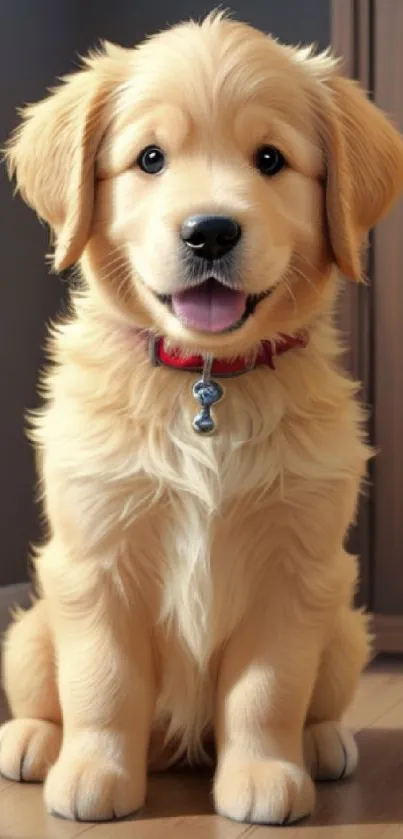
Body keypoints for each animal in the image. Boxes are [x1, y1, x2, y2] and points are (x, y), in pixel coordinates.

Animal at [0, 11, 403, 828]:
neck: (206, 381)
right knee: (43, 690)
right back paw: (33, 741)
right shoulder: (95, 556)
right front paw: (93, 770)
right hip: (29, 627)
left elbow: (267, 690)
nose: (210, 231)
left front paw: (265, 771)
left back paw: (322, 742)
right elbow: (101, 681)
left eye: (270, 159)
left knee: (318, 698)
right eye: (150, 158)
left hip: (345, 627)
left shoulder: (295, 569)